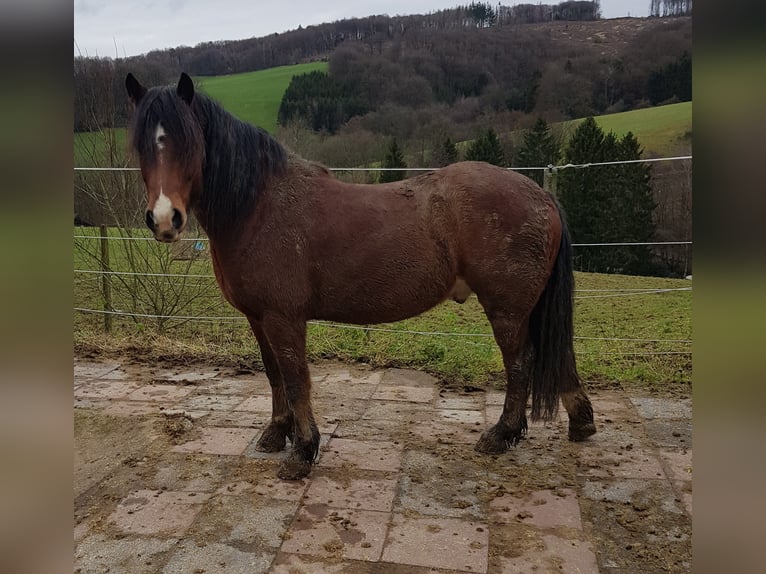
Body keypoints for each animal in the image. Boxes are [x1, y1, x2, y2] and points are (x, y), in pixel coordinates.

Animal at [125, 72, 596, 480]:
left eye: (189, 142)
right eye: (141, 146)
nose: (165, 219)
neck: (258, 206)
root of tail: (542, 196)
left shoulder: (283, 317)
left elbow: (296, 378)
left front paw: (303, 451)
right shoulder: (258, 318)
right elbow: (273, 374)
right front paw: (277, 433)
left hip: (508, 310)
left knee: (520, 363)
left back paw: (501, 435)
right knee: (556, 358)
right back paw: (580, 423)